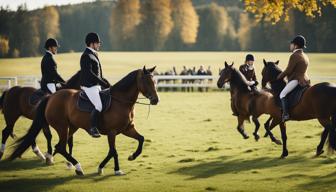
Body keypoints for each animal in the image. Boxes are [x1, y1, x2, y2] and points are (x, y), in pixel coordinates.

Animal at [8, 67, 159, 176]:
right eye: (147, 82)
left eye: (155, 81)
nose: (156, 100)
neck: (120, 101)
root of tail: (51, 97)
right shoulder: (112, 132)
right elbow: (113, 151)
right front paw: (116, 170)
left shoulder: (127, 129)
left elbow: (141, 139)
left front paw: (131, 157)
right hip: (62, 127)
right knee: (60, 146)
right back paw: (77, 167)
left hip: (72, 127)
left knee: (62, 145)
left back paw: (62, 161)